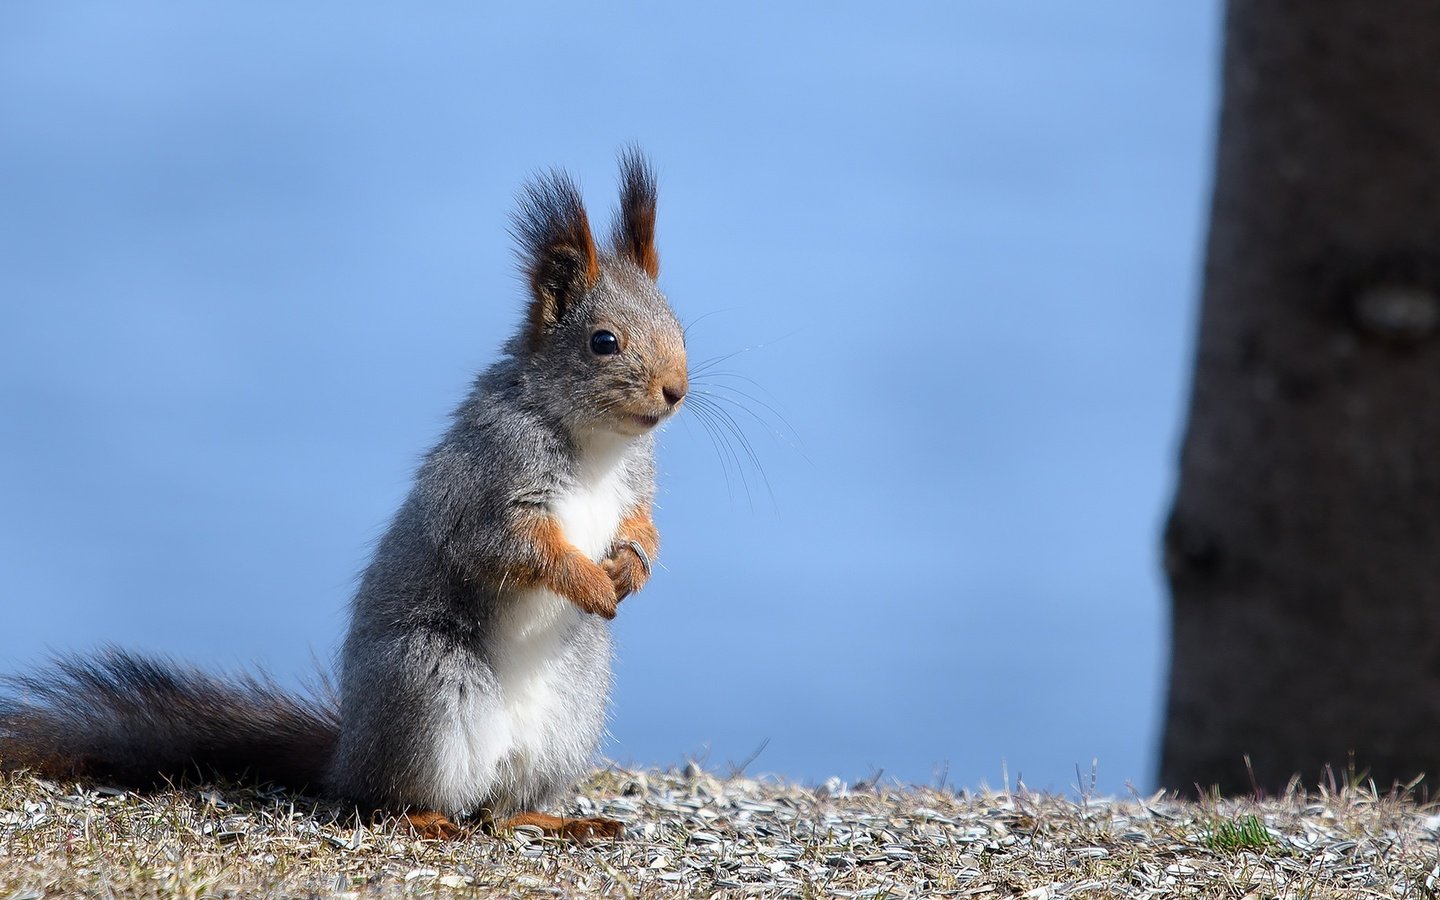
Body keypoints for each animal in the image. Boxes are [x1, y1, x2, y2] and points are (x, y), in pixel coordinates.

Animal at [0, 149, 688, 840]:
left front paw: (632, 565)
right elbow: (511, 546)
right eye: (603, 341)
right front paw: (591, 581)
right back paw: (426, 817)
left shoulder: (636, 483)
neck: (594, 443)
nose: (676, 391)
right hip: (428, 686)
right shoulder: (487, 480)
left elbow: (643, 524)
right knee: (389, 798)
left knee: (500, 811)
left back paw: (554, 819)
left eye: (677, 324)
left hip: (572, 710)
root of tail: (346, 755)